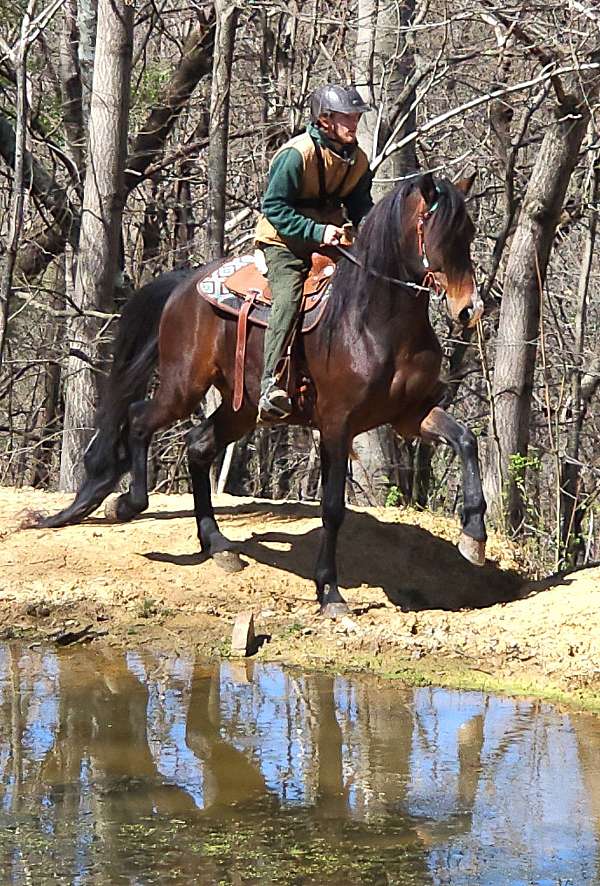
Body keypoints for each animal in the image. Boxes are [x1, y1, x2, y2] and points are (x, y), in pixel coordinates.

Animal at [32, 172, 486, 618]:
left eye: (469, 232)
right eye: (438, 233)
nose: (470, 310)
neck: (374, 319)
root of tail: (186, 282)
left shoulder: (412, 414)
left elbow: (466, 440)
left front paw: (474, 535)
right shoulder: (336, 425)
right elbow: (332, 508)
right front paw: (330, 591)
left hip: (242, 409)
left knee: (197, 446)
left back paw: (216, 543)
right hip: (183, 386)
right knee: (141, 418)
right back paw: (129, 503)